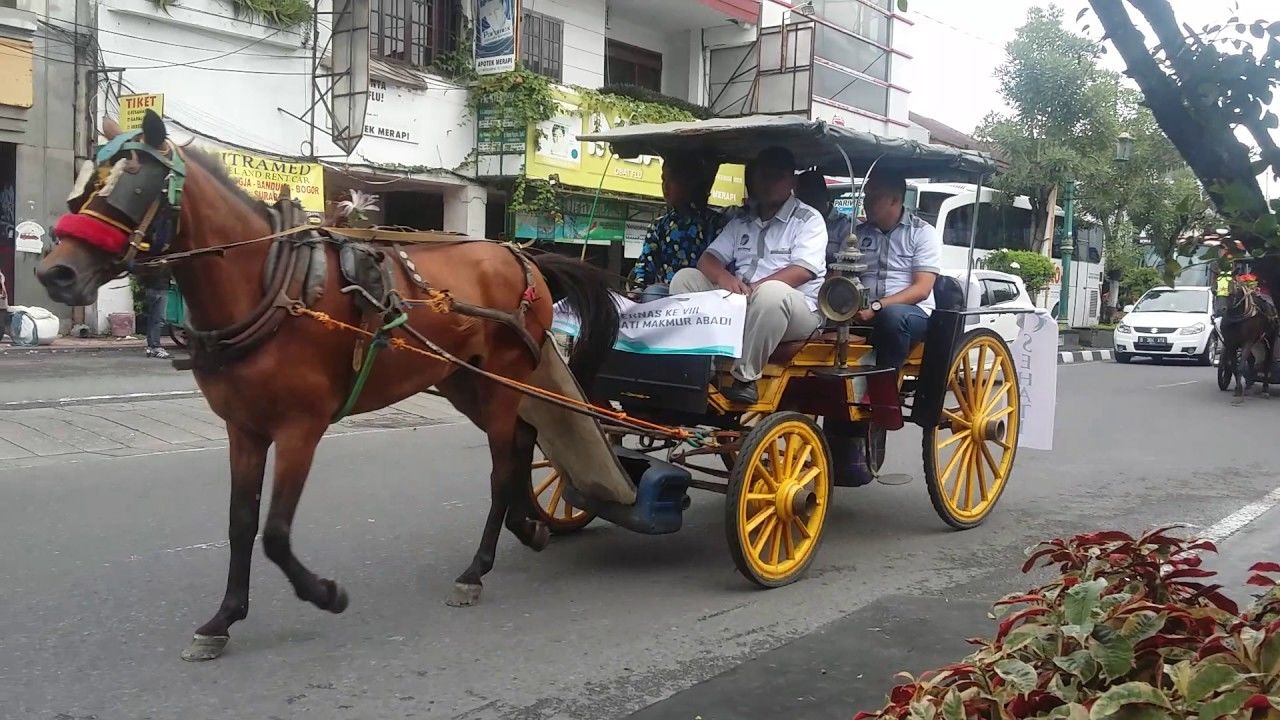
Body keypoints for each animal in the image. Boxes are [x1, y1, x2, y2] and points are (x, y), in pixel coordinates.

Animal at [33, 110, 619, 655]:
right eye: (86, 185)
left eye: (133, 185)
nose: (55, 274)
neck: (269, 286)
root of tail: (520, 255)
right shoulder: (243, 430)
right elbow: (241, 522)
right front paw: (223, 619)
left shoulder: (300, 429)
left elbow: (275, 532)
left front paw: (324, 594)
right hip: (463, 381)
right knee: (523, 441)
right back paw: (529, 526)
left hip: (500, 381)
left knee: (501, 466)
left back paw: (475, 570)